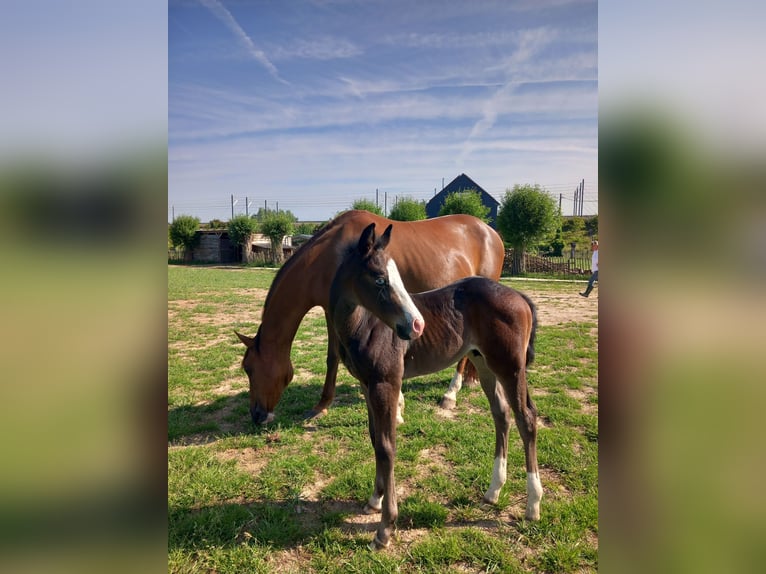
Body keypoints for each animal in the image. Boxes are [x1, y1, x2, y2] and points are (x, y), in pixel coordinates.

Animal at [236, 210, 504, 426]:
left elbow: (333, 358)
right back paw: (469, 380)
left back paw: (451, 394)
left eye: (249, 368)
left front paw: (322, 406)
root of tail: (491, 232)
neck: (333, 254)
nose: (256, 415)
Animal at [328, 222, 542, 549]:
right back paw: (493, 492)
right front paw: (374, 500)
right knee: (501, 414)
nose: (417, 326)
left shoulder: (386, 384)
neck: (364, 325)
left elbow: (388, 446)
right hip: (484, 364)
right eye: (379, 279)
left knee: (526, 418)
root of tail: (519, 296)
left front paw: (385, 528)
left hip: (510, 367)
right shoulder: (367, 385)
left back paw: (532, 505)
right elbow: (375, 439)